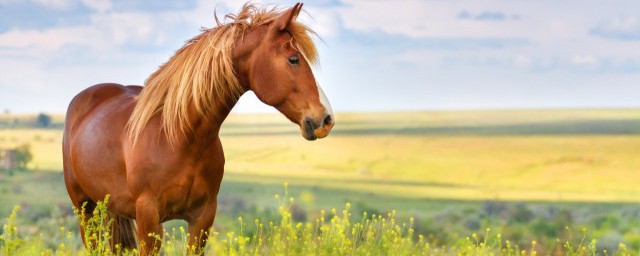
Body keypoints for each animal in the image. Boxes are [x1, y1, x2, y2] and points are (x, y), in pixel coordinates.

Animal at [61, 3, 336, 255]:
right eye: (294, 59)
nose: (326, 119)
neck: (179, 138)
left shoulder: (202, 219)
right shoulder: (148, 219)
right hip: (85, 210)